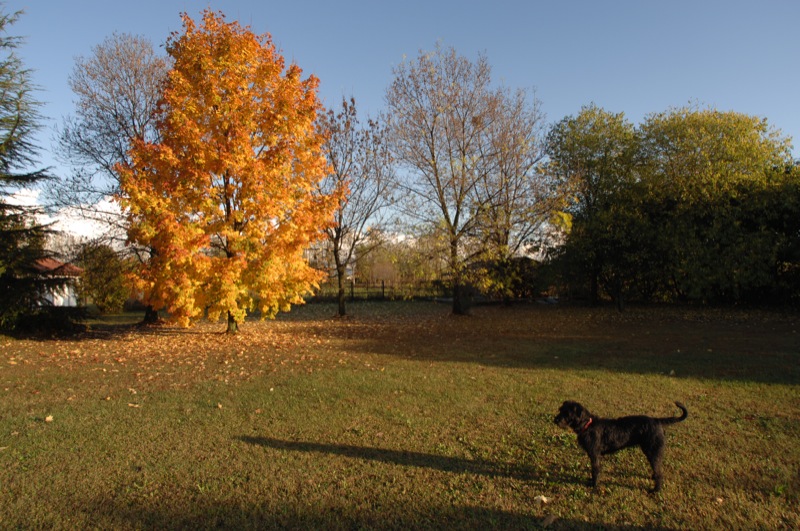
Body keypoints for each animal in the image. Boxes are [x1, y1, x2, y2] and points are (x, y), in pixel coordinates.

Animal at [556, 404, 688, 494]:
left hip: (652, 451)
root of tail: (656, 421)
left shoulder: (595, 454)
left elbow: (595, 470)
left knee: (659, 473)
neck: (588, 425)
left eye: (567, 413)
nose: (555, 419)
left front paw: (594, 486)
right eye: (560, 410)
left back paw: (655, 490)